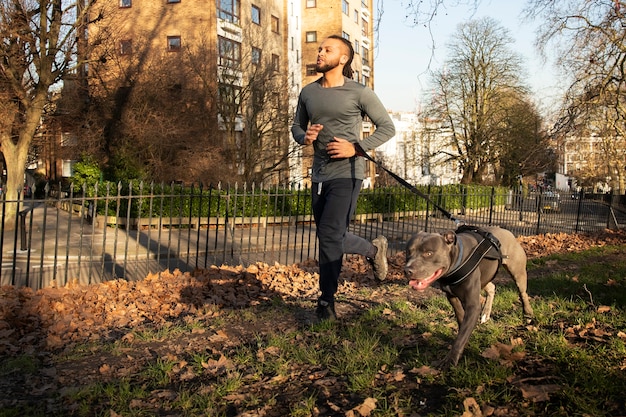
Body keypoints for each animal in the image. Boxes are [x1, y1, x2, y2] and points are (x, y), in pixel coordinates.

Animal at [404, 224, 532, 368]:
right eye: (408, 252)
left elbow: (461, 336)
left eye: (428, 253)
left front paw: (450, 360)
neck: (457, 258)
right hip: (484, 278)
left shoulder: (473, 305)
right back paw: (486, 313)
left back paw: (527, 313)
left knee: (522, 293)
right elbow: (461, 319)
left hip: (517, 272)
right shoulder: (451, 297)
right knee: (492, 287)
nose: (407, 270)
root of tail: (507, 231)